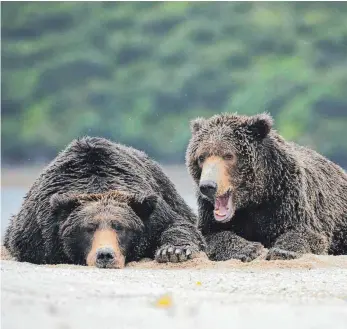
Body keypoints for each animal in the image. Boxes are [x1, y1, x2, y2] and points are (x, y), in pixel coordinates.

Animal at [4, 136, 205, 266]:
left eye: (120, 227)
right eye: (88, 228)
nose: (105, 255)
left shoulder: (152, 213)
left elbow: (178, 224)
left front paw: (173, 251)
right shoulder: (39, 229)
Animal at [188, 111, 347, 260]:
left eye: (228, 155)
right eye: (201, 157)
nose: (208, 186)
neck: (256, 197)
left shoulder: (286, 196)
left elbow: (305, 232)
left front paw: (283, 250)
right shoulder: (209, 210)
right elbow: (209, 234)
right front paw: (249, 249)